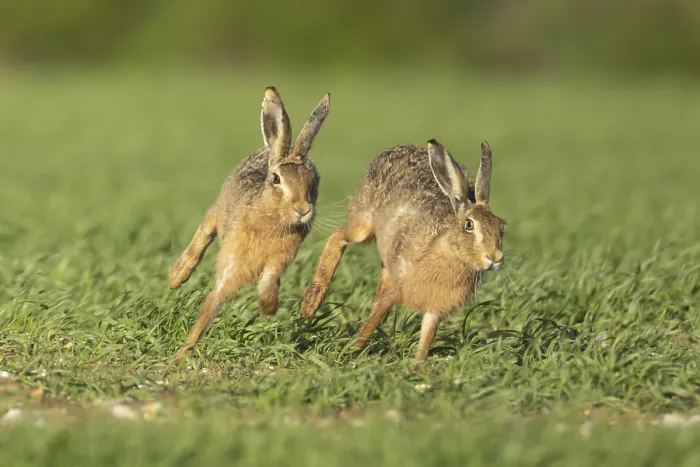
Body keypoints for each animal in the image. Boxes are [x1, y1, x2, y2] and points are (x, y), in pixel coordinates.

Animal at [170, 86, 331, 364]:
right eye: (276, 179)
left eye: (313, 182)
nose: (303, 210)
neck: (270, 219)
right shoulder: (232, 261)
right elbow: (210, 306)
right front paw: (181, 356)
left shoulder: (279, 258)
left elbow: (269, 278)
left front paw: (268, 306)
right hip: (219, 208)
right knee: (206, 227)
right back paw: (177, 276)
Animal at [301, 139, 504, 370]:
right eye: (469, 225)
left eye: (501, 227)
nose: (495, 257)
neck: (449, 250)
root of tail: (395, 149)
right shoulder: (397, 287)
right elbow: (374, 319)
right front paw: (350, 351)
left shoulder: (435, 309)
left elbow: (426, 337)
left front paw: (416, 368)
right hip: (363, 223)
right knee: (338, 236)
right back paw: (311, 303)